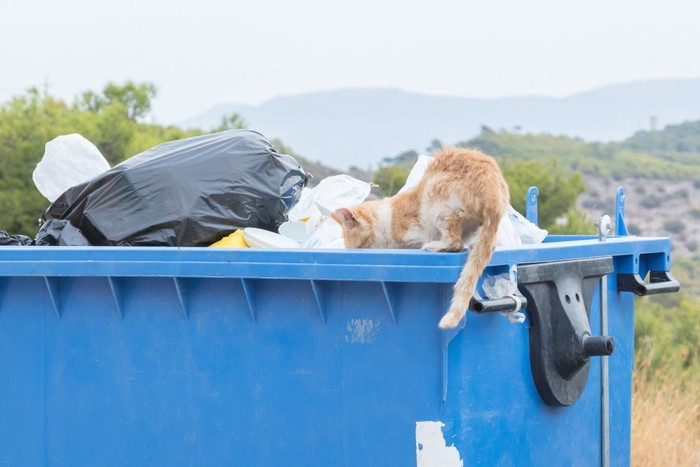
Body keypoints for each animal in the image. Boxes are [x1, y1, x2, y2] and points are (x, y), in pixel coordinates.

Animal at [332, 147, 508, 330]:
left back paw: (436, 246)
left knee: (455, 243)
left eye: (357, 247)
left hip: (437, 202)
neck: (383, 220)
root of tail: (494, 195)